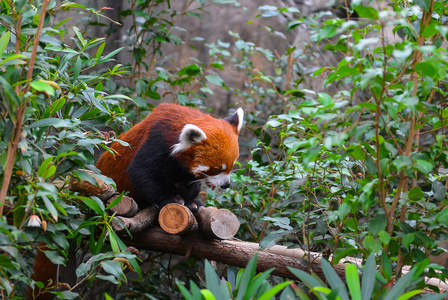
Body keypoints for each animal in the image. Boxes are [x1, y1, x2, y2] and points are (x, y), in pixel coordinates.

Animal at [96, 104, 243, 212]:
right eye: (217, 169)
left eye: (231, 167)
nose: (226, 184)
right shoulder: (157, 140)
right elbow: (142, 171)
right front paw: (173, 198)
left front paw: (191, 201)